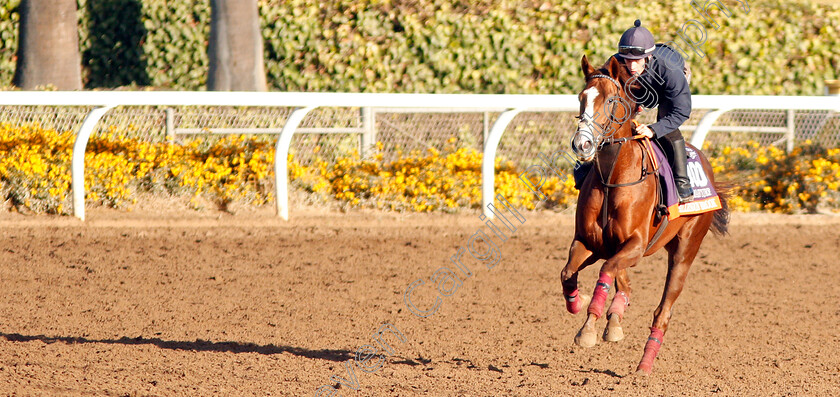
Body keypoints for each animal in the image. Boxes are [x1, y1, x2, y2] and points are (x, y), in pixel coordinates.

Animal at [564, 55, 728, 374]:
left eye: (611, 99)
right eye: (581, 97)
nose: (582, 144)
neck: (613, 177)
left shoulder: (636, 246)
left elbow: (605, 272)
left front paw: (588, 329)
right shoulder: (589, 242)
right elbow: (569, 274)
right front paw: (581, 305)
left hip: (685, 251)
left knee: (662, 312)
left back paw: (644, 365)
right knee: (621, 281)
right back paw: (616, 316)